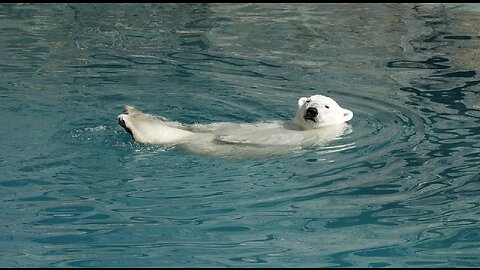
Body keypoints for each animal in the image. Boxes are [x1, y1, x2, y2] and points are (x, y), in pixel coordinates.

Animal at [117, 95, 352, 158]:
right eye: (308, 100)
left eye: (327, 106)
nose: (312, 111)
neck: (302, 128)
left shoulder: (309, 138)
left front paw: (231, 139)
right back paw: (130, 112)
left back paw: (130, 123)